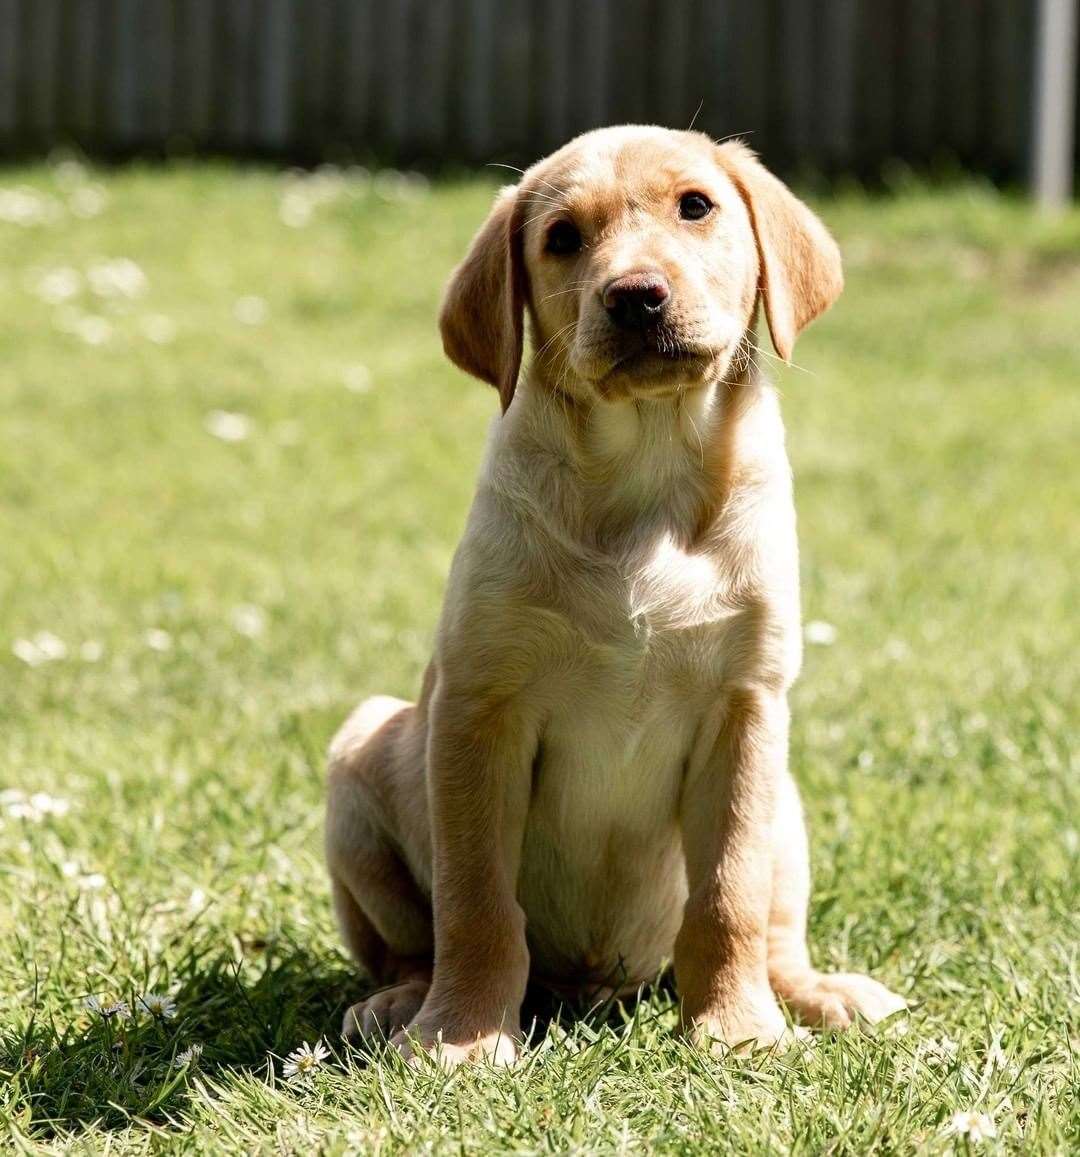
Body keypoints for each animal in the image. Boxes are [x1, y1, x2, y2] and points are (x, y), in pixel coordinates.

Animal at [324, 126, 907, 1064]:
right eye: (562, 237)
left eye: (696, 206)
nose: (635, 297)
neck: (646, 470)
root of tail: (598, 984)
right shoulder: (480, 706)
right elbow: (476, 902)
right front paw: (460, 1036)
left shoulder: (746, 707)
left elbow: (728, 895)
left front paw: (736, 1029)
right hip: (362, 752)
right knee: (411, 943)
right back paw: (401, 1001)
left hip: (786, 799)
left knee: (773, 930)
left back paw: (815, 992)